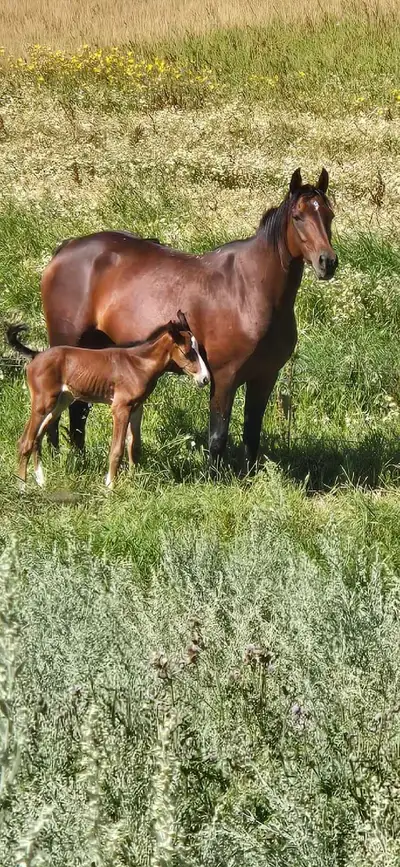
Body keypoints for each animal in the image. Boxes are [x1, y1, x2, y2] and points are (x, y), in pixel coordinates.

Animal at [7, 312, 210, 488]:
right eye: (187, 352)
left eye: (199, 350)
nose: (205, 379)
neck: (139, 364)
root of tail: (36, 355)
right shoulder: (120, 408)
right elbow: (117, 449)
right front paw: (110, 485)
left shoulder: (136, 408)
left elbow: (134, 446)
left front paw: (132, 481)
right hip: (42, 403)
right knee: (25, 441)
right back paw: (22, 487)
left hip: (61, 402)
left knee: (37, 438)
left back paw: (41, 482)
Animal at [39, 167, 337, 471]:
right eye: (298, 217)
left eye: (329, 215)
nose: (327, 262)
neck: (249, 289)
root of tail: (66, 249)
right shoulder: (224, 377)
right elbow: (218, 435)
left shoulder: (265, 377)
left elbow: (252, 433)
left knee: (78, 409)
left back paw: (79, 457)